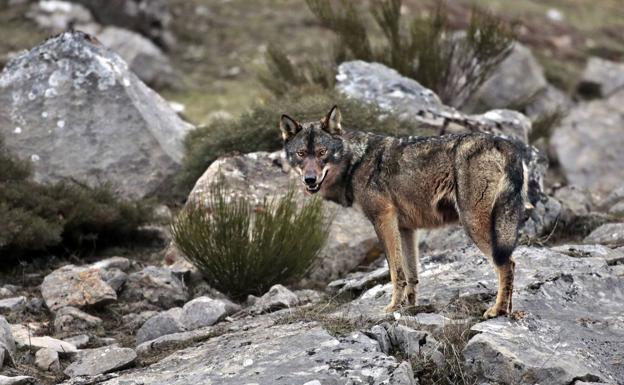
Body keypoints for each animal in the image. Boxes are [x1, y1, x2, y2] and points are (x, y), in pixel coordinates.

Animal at [280, 105, 528, 318]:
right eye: (301, 154)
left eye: (322, 152)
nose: (310, 180)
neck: (356, 162)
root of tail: (502, 141)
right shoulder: (407, 229)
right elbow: (411, 275)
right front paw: (410, 307)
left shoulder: (383, 220)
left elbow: (395, 272)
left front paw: (392, 307)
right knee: (511, 264)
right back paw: (509, 310)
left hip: (473, 224)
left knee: (506, 264)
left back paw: (497, 310)